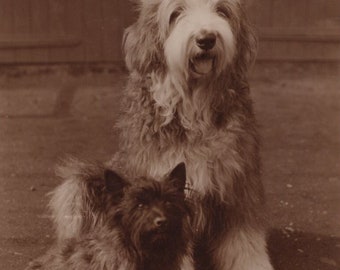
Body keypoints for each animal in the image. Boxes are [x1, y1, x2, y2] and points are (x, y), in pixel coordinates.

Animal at [49, 0, 274, 270]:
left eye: (222, 10)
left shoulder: (238, 185)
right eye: (176, 13)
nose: (206, 39)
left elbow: (244, 241)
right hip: (81, 187)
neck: (193, 108)